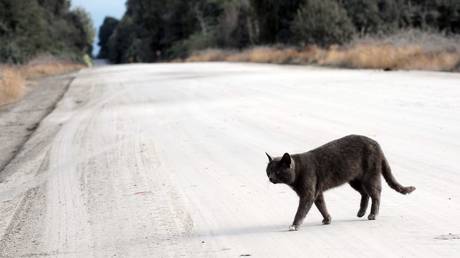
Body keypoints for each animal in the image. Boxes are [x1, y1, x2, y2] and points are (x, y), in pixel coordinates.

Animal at [264, 135, 416, 232]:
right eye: (268, 171)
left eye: (277, 172)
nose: (270, 178)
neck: (298, 171)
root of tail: (376, 144)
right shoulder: (317, 192)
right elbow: (321, 206)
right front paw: (327, 219)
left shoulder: (308, 193)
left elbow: (301, 211)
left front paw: (294, 226)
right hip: (354, 179)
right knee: (365, 193)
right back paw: (361, 212)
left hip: (370, 176)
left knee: (376, 194)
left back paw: (372, 215)